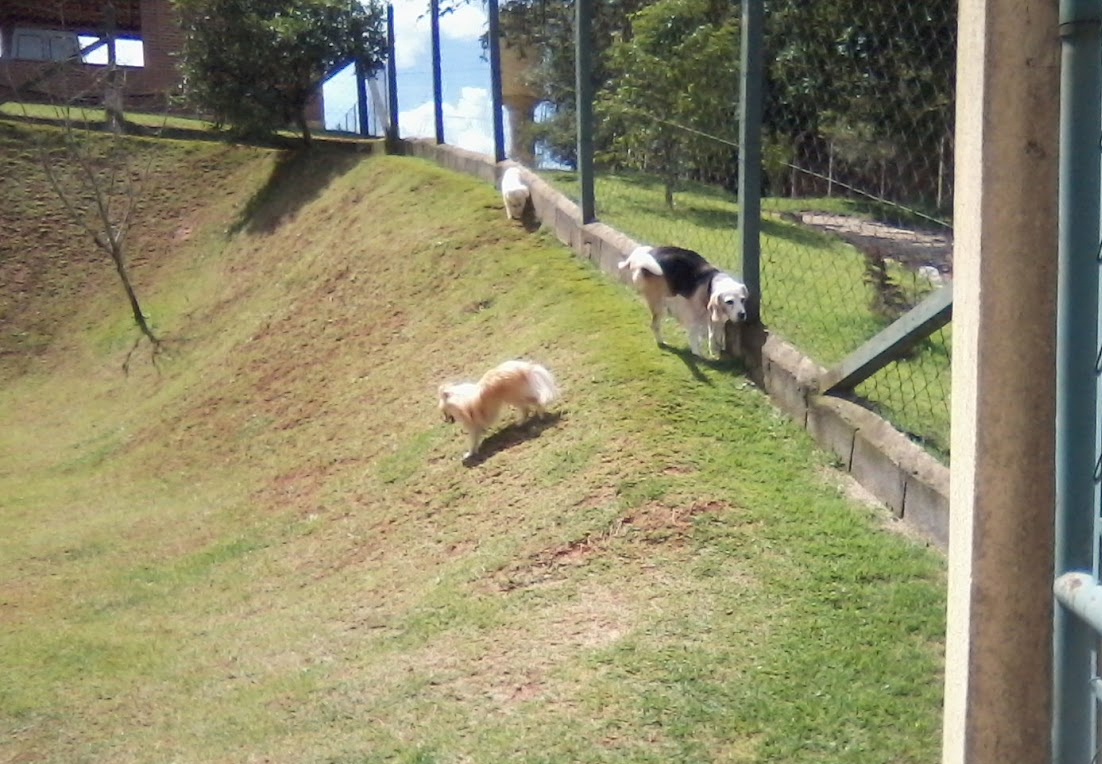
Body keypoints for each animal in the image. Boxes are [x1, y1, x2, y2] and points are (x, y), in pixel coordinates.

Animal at [621, 245, 749, 359]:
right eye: (729, 301)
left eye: (743, 300)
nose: (742, 315)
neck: (711, 283)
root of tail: (641, 259)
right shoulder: (694, 316)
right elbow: (694, 334)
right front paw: (697, 353)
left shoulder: (713, 318)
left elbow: (713, 336)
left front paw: (715, 352)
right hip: (660, 305)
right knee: (654, 325)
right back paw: (661, 341)